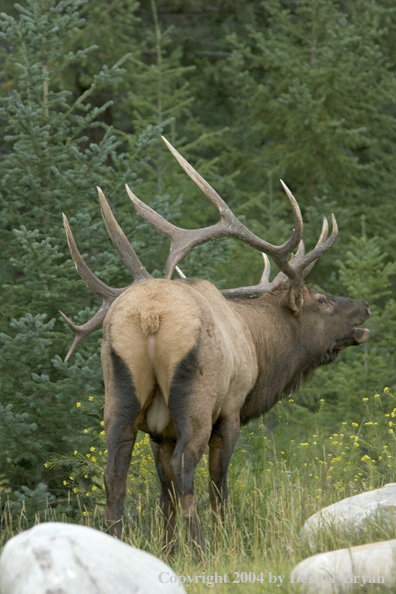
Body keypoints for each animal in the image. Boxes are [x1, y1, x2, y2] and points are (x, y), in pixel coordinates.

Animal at [60, 138, 370, 552]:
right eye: (321, 300)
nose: (364, 306)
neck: (259, 349)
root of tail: (149, 316)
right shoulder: (232, 410)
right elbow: (217, 485)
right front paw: (222, 542)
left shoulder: (160, 431)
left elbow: (164, 495)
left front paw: (169, 549)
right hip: (197, 398)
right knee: (185, 467)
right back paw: (202, 550)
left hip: (120, 389)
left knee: (115, 472)